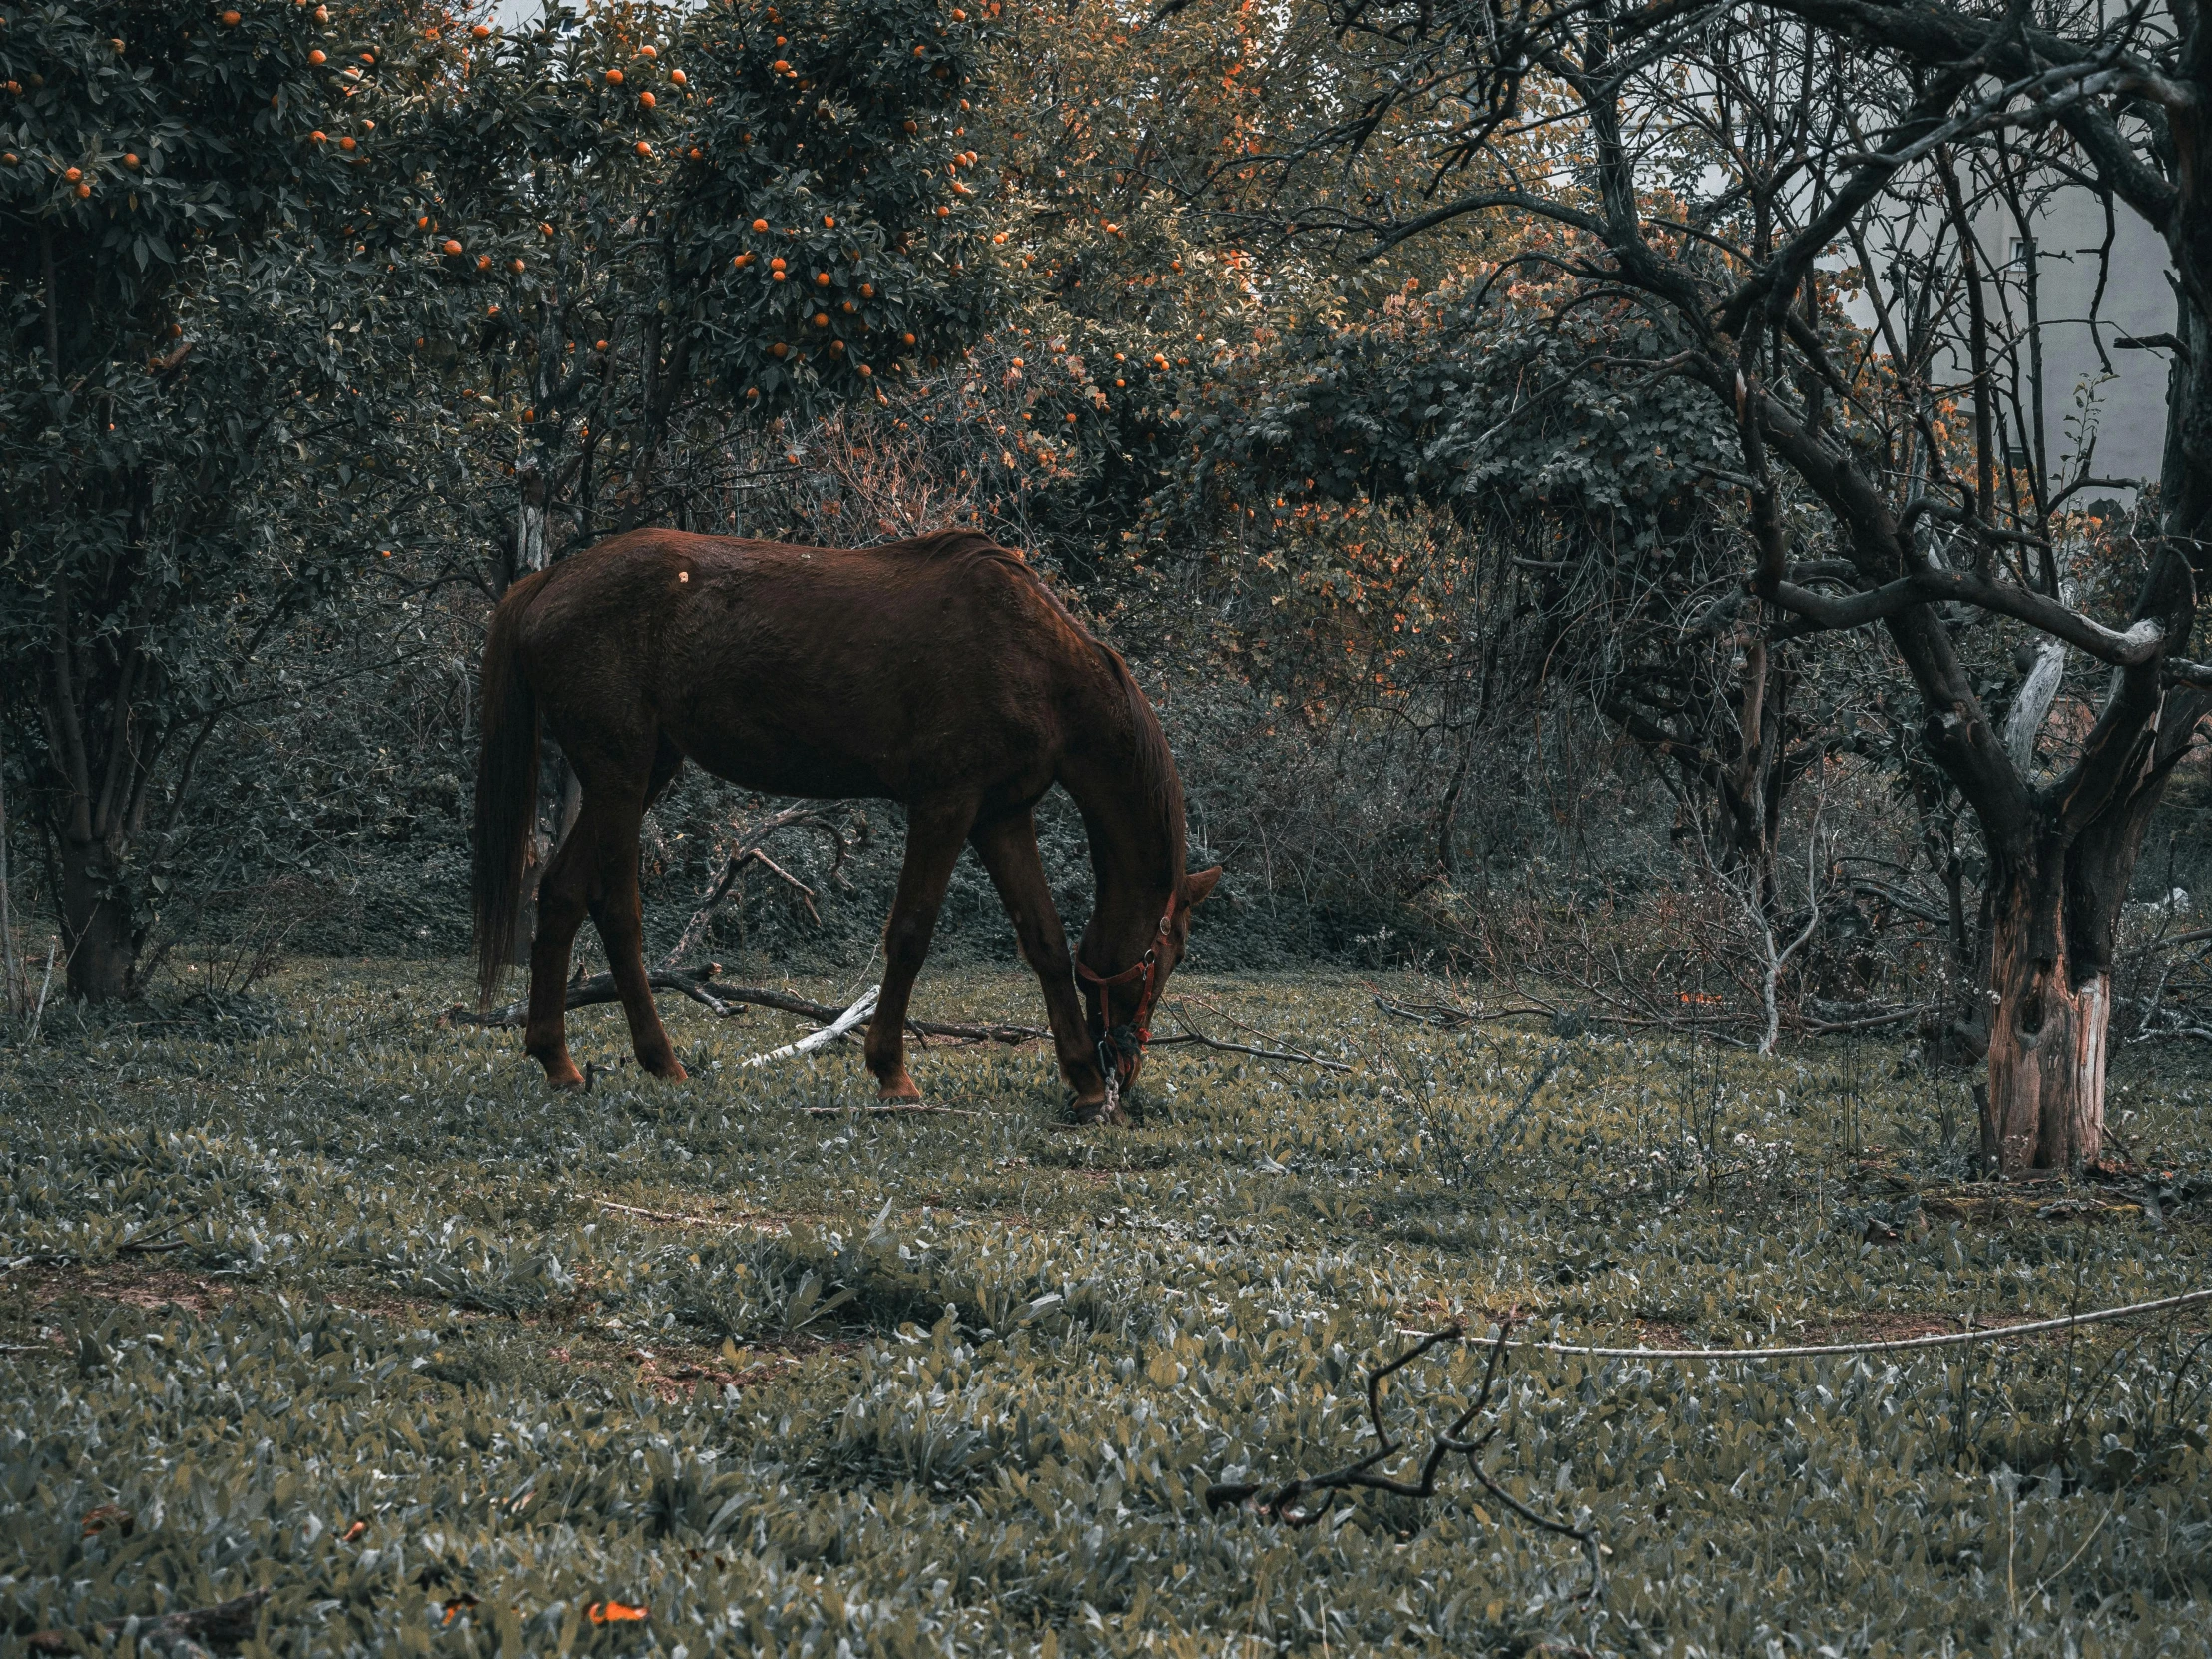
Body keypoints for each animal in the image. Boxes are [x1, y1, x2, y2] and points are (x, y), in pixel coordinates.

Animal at [473, 528, 1221, 1132]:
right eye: (1169, 953)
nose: (1126, 1069)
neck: (1033, 657)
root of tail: (546, 583)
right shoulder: (946, 804)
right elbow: (911, 934)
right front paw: (893, 1073)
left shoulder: (1001, 815)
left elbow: (1044, 941)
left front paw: (1085, 1084)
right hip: (621, 774)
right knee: (616, 910)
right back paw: (661, 1060)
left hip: (642, 769)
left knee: (562, 894)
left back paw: (557, 1060)